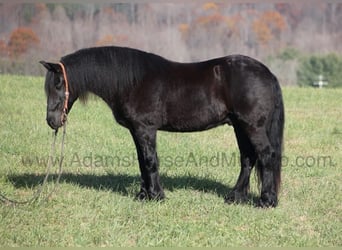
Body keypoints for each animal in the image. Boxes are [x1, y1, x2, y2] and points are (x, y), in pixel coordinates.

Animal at [41, 46, 284, 208]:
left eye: (58, 84)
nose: (52, 121)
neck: (132, 81)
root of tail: (267, 73)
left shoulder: (145, 129)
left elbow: (150, 161)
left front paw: (156, 196)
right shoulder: (136, 130)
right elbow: (142, 161)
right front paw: (143, 195)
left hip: (252, 127)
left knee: (266, 155)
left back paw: (266, 201)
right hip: (239, 126)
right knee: (248, 158)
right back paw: (235, 197)